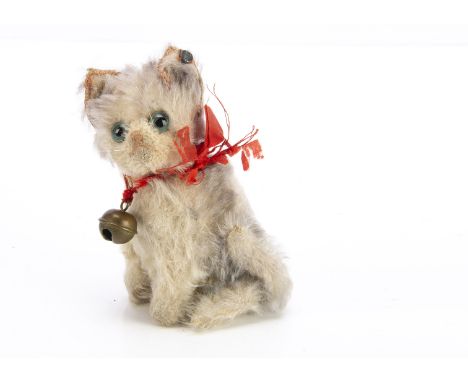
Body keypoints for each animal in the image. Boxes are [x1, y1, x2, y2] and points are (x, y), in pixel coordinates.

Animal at [82, 46, 290, 328]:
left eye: (160, 121)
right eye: (118, 131)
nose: (137, 141)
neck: (162, 177)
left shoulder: (177, 249)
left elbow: (173, 282)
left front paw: (164, 315)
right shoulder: (135, 247)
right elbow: (134, 269)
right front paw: (140, 293)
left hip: (242, 240)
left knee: (255, 290)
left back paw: (210, 308)